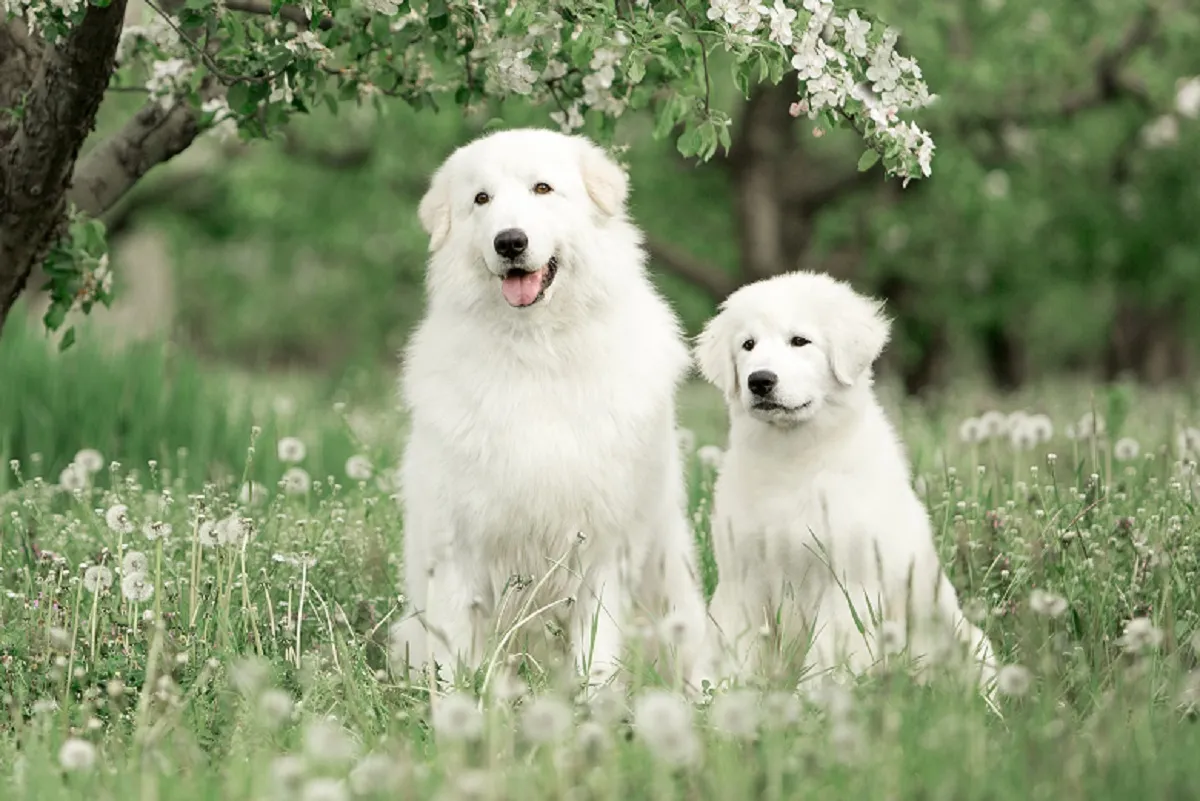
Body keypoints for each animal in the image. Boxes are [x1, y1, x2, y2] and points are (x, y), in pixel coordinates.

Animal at [393, 128, 710, 690]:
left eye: (542, 188)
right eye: (481, 199)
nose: (509, 242)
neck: (537, 352)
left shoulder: (603, 551)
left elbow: (595, 655)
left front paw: (594, 705)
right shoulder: (457, 551)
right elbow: (454, 662)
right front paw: (454, 709)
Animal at [696, 270, 993, 695]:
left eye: (799, 341)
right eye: (748, 345)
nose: (759, 381)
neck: (793, 459)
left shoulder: (849, 580)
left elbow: (826, 654)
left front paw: (810, 701)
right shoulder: (743, 576)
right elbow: (731, 646)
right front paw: (711, 694)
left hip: (973, 647)